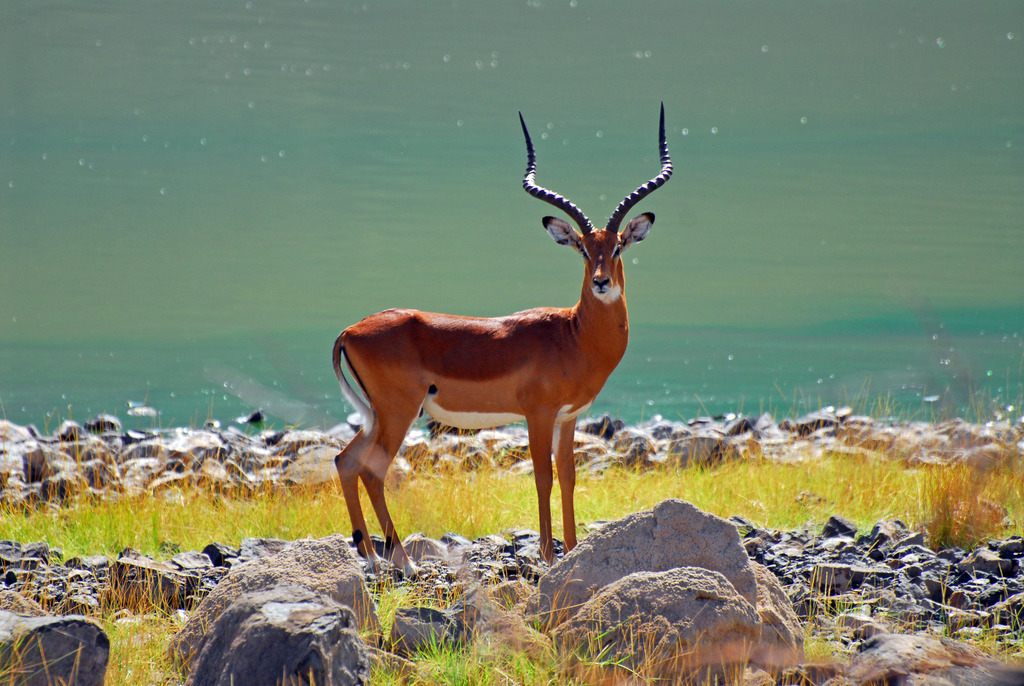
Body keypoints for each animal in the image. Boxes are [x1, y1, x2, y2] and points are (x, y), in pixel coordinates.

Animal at [332, 105, 673, 573]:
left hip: (377, 416)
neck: (574, 336)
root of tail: (349, 330)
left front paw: (571, 549)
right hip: (397, 413)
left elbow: (568, 476)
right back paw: (404, 562)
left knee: (345, 461)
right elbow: (543, 477)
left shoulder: (569, 417)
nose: (602, 282)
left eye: (618, 246)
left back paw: (368, 554)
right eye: (583, 249)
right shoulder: (538, 414)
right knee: (372, 470)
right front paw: (547, 554)